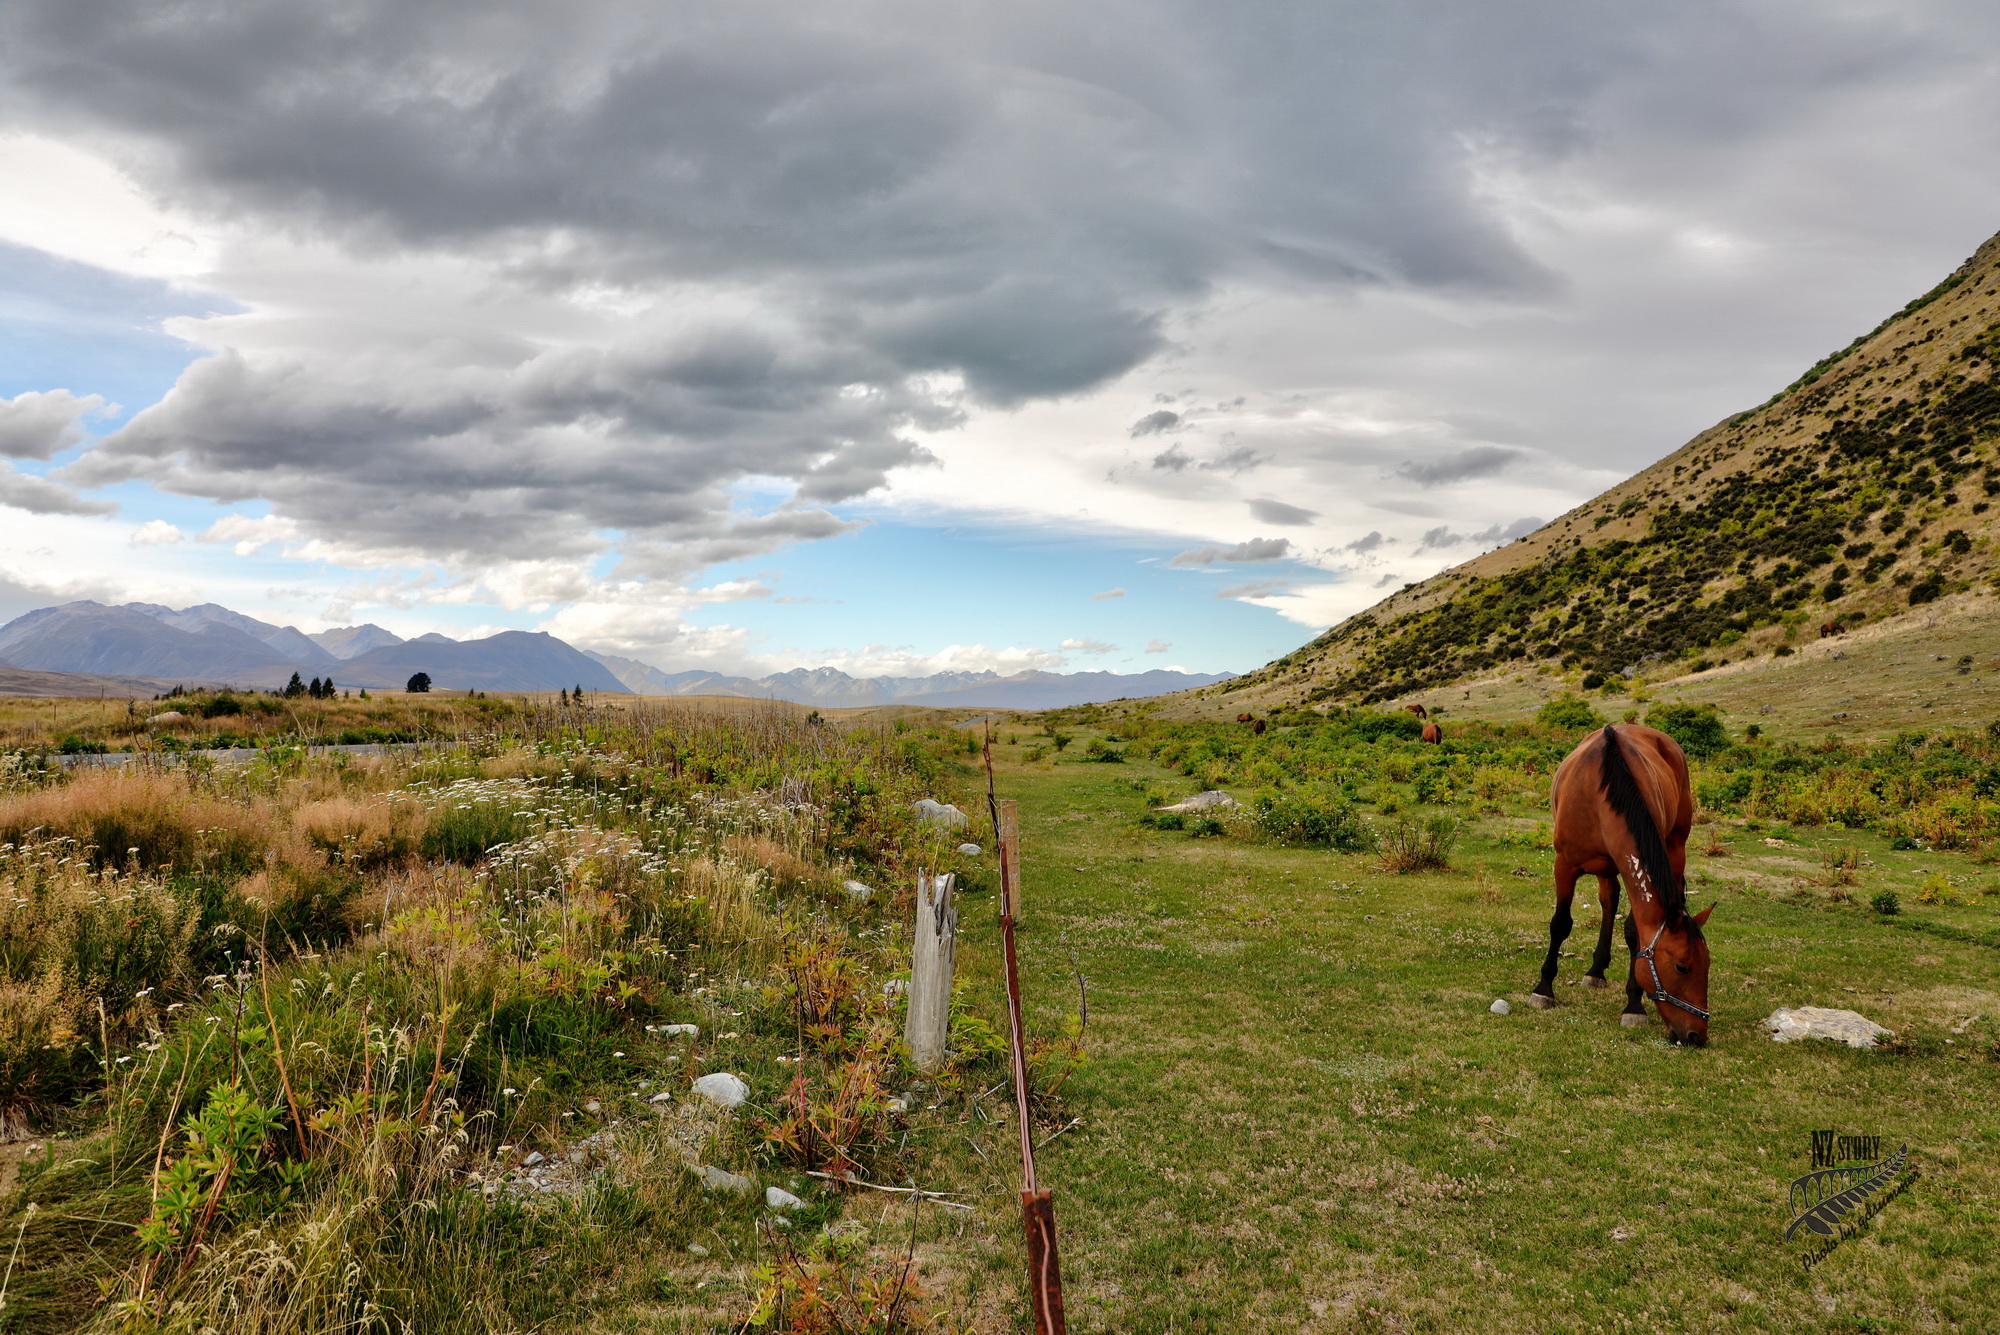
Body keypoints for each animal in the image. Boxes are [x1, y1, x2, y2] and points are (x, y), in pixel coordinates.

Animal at [1520, 723, 1712, 1047]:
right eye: (1681, 967)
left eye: (1708, 965)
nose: (1697, 1035)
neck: (1601, 791)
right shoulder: (1564, 864)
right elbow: (1560, 924)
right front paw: (1544, 989)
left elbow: (1635, 933)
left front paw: (1634, 1005)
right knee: (1608, 903)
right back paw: (1596, 971)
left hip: (1674, 846)